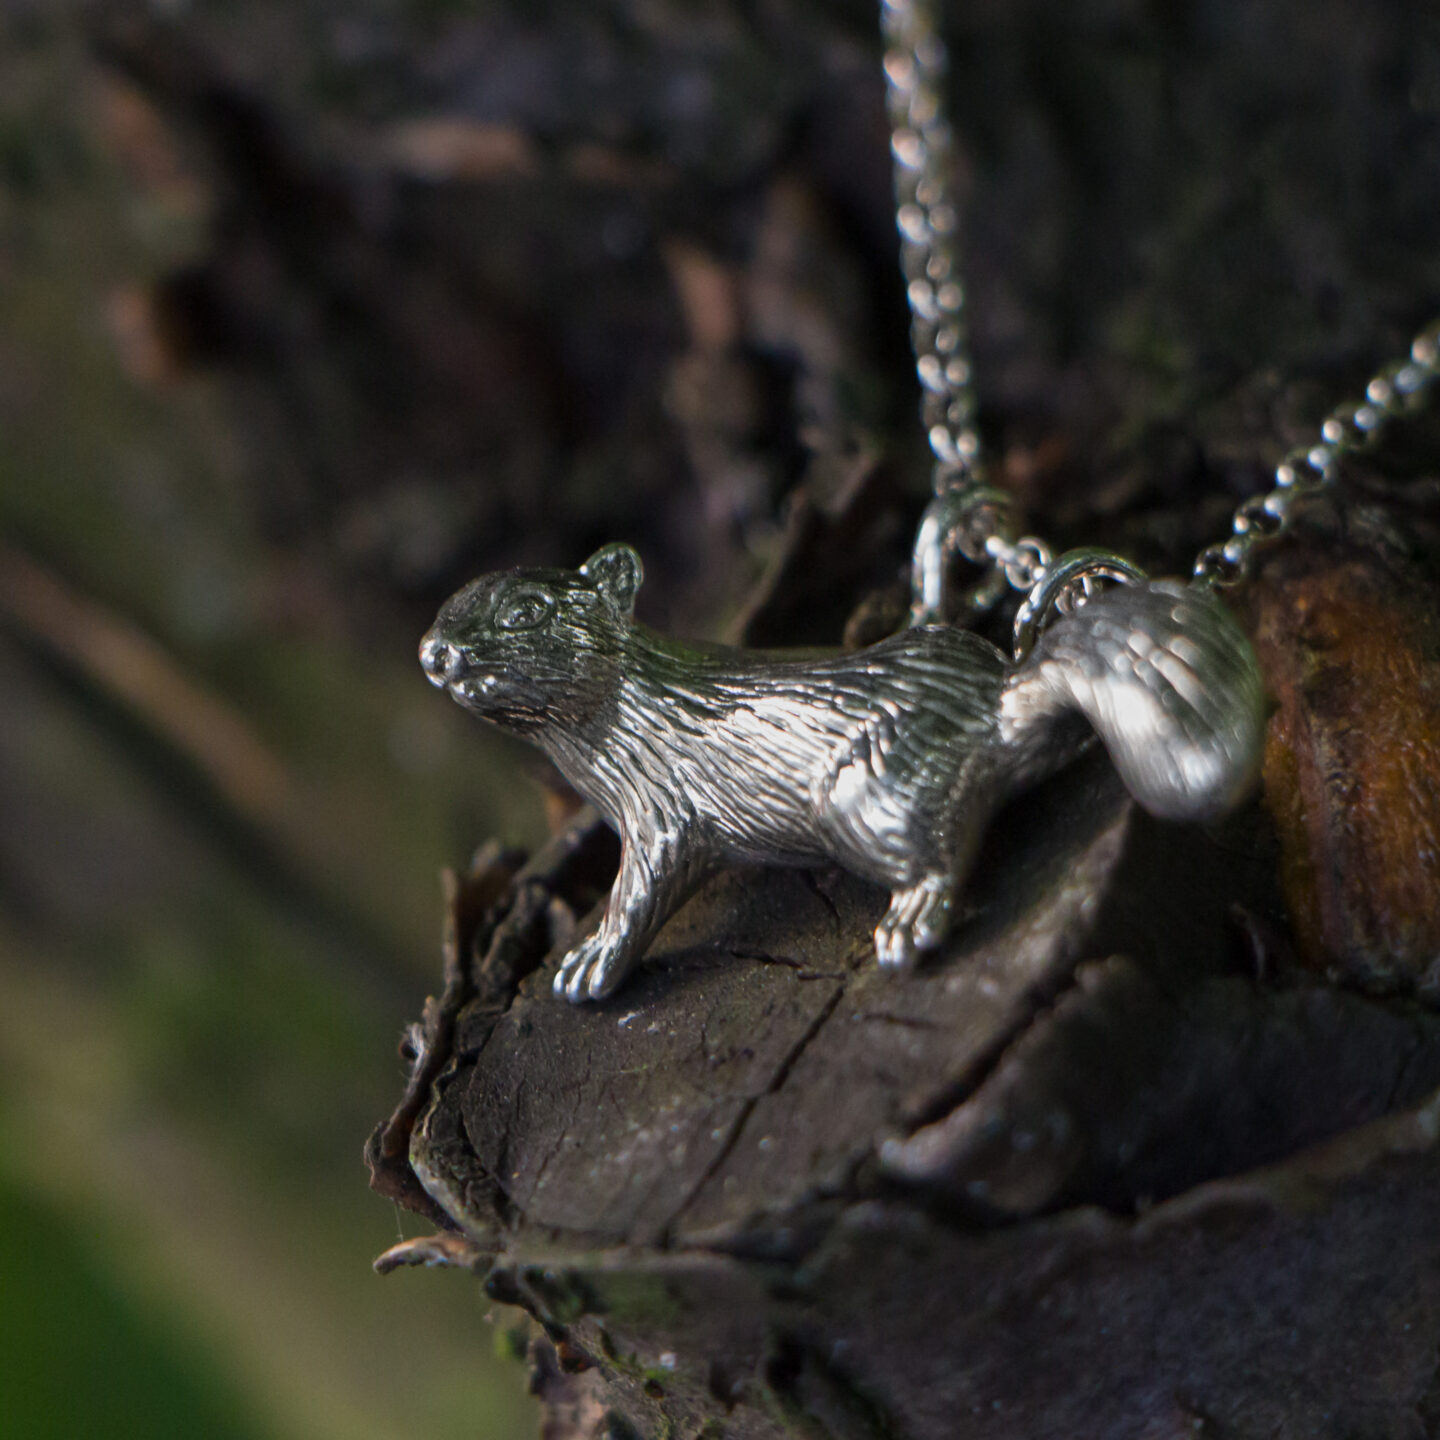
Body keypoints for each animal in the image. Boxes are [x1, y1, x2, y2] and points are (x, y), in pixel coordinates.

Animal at [421, 543, 1264, 1002]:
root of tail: (996, 705)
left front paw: (590, 961)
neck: (623, 718)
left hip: (862, 798)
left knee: (947, 851)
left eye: (528, 610)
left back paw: (910, 923)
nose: (436, 654)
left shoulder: (662, 814)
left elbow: (637, 895)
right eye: (447, 606)